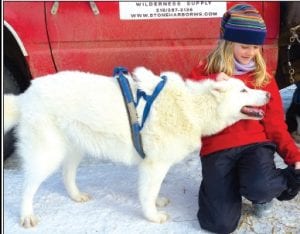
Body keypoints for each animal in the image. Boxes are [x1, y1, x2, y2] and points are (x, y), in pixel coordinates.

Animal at [2, 66, 270, 228]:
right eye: (244, 90)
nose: (267, 94)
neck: (190, 107)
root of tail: (26, 95)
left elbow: (152, 192)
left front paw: (157, 203)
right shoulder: (154, 165)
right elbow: (148, 194)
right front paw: (153, 216)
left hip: (75, 149)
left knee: (67, 175)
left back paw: (76, 196)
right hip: (46, 155)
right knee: (27, 186)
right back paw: (26, 216)